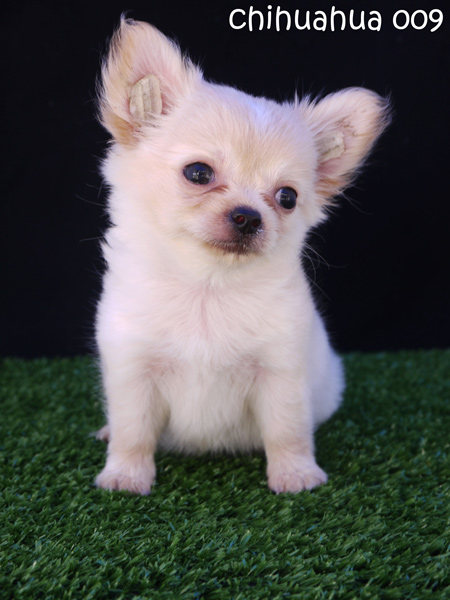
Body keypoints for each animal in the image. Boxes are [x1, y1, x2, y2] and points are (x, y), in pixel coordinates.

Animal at [93, 18, 389, 494]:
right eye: (198, 173)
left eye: (287, 198)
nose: (249, 217)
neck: (208, 288)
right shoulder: (133, 369)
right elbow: (133, 431)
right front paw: (125, 475)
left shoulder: (281, 373)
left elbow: (288, 430)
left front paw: (296, 475)